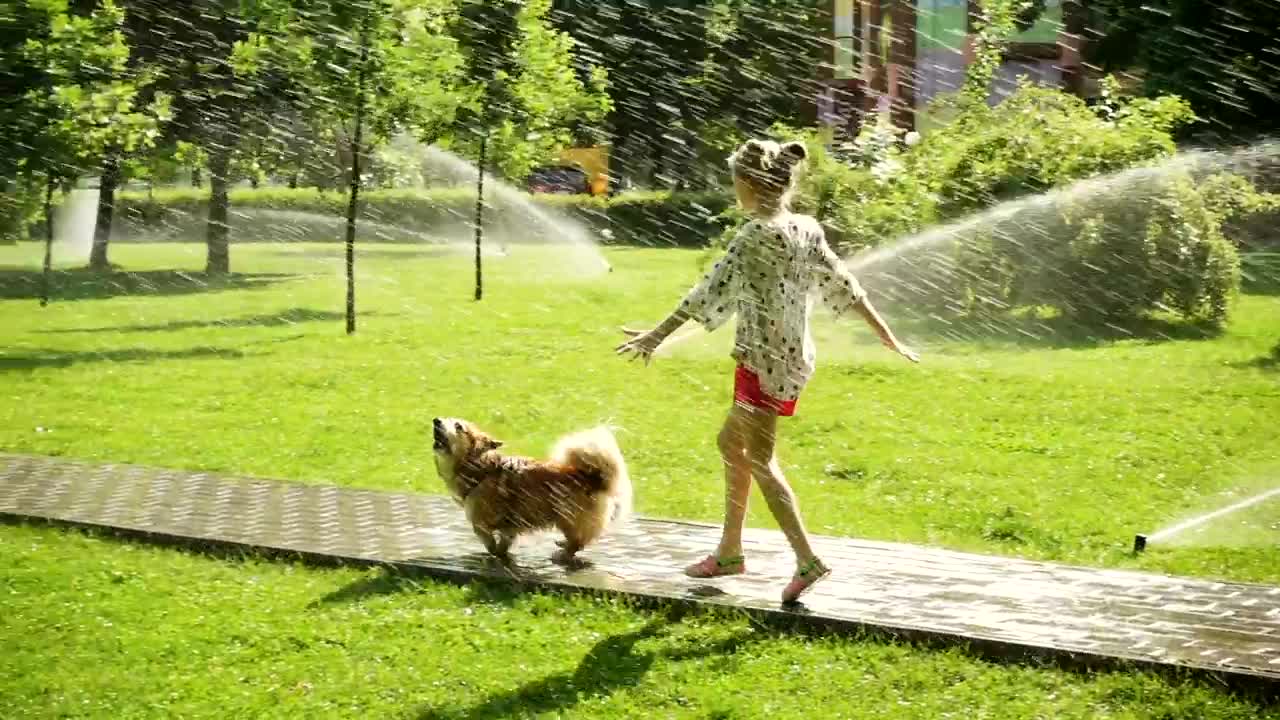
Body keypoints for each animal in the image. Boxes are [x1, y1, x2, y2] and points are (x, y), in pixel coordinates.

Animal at [430, 415, 629, 561]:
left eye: (458, 426)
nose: (436, 420)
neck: (480, 468)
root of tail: (592, 477)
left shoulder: (481, 521)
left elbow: (486, 538)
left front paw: (494, 552)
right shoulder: (510, 524)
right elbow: (504, 541)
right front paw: (502, 553)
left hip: (567, 516)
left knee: (578, 541)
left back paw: (562, 554)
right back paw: (562, 545)